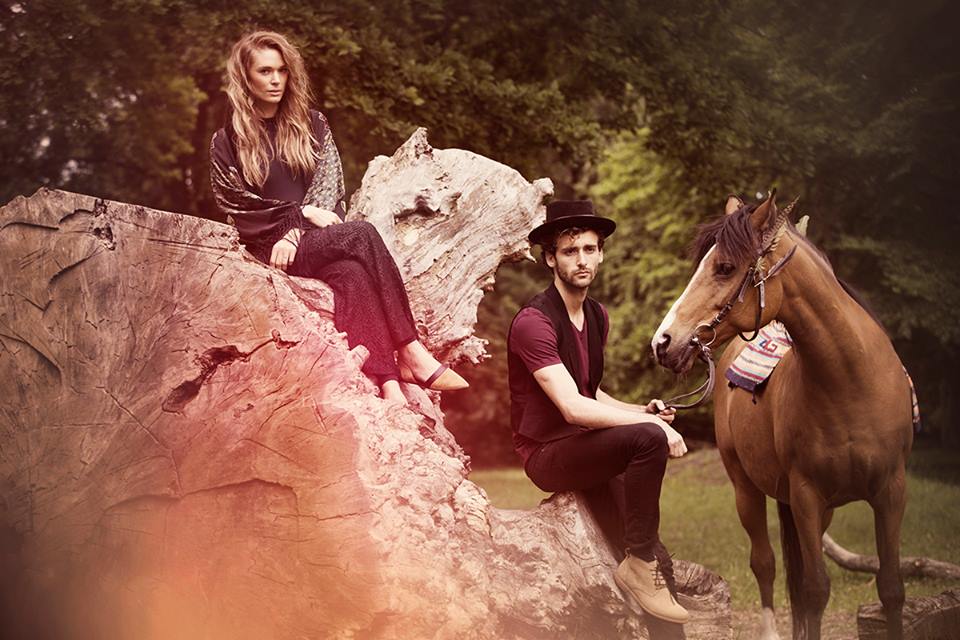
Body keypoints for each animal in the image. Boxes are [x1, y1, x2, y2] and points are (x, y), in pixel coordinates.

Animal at [650, 192, 913, 640]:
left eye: (724, 267)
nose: (663, 342)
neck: (853, 385)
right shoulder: (806, 495)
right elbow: (815, 588)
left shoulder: (890, 492)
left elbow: (891, 588)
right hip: (747, 490)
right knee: (766, 565)